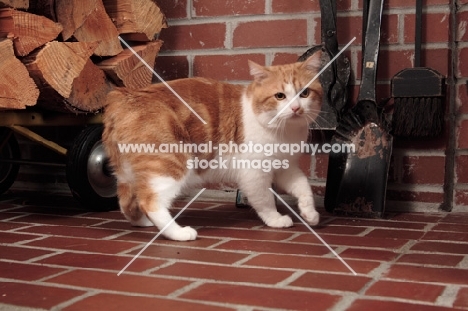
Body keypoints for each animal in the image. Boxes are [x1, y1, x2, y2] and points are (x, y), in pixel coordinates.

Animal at [102, 50, 322, 241]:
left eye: (305, 93)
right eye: (280, 96)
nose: (296, 108)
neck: (285, 131)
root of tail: (125, 98)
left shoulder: (285, 167)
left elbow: (303, 187)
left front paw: (310, 213)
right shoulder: (255, 173)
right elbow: (264, 199)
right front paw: (275, 219)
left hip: (127, 174)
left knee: (126, 201)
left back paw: (144, 223)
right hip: (170, 165)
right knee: (150, 202)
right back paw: (178, 233)